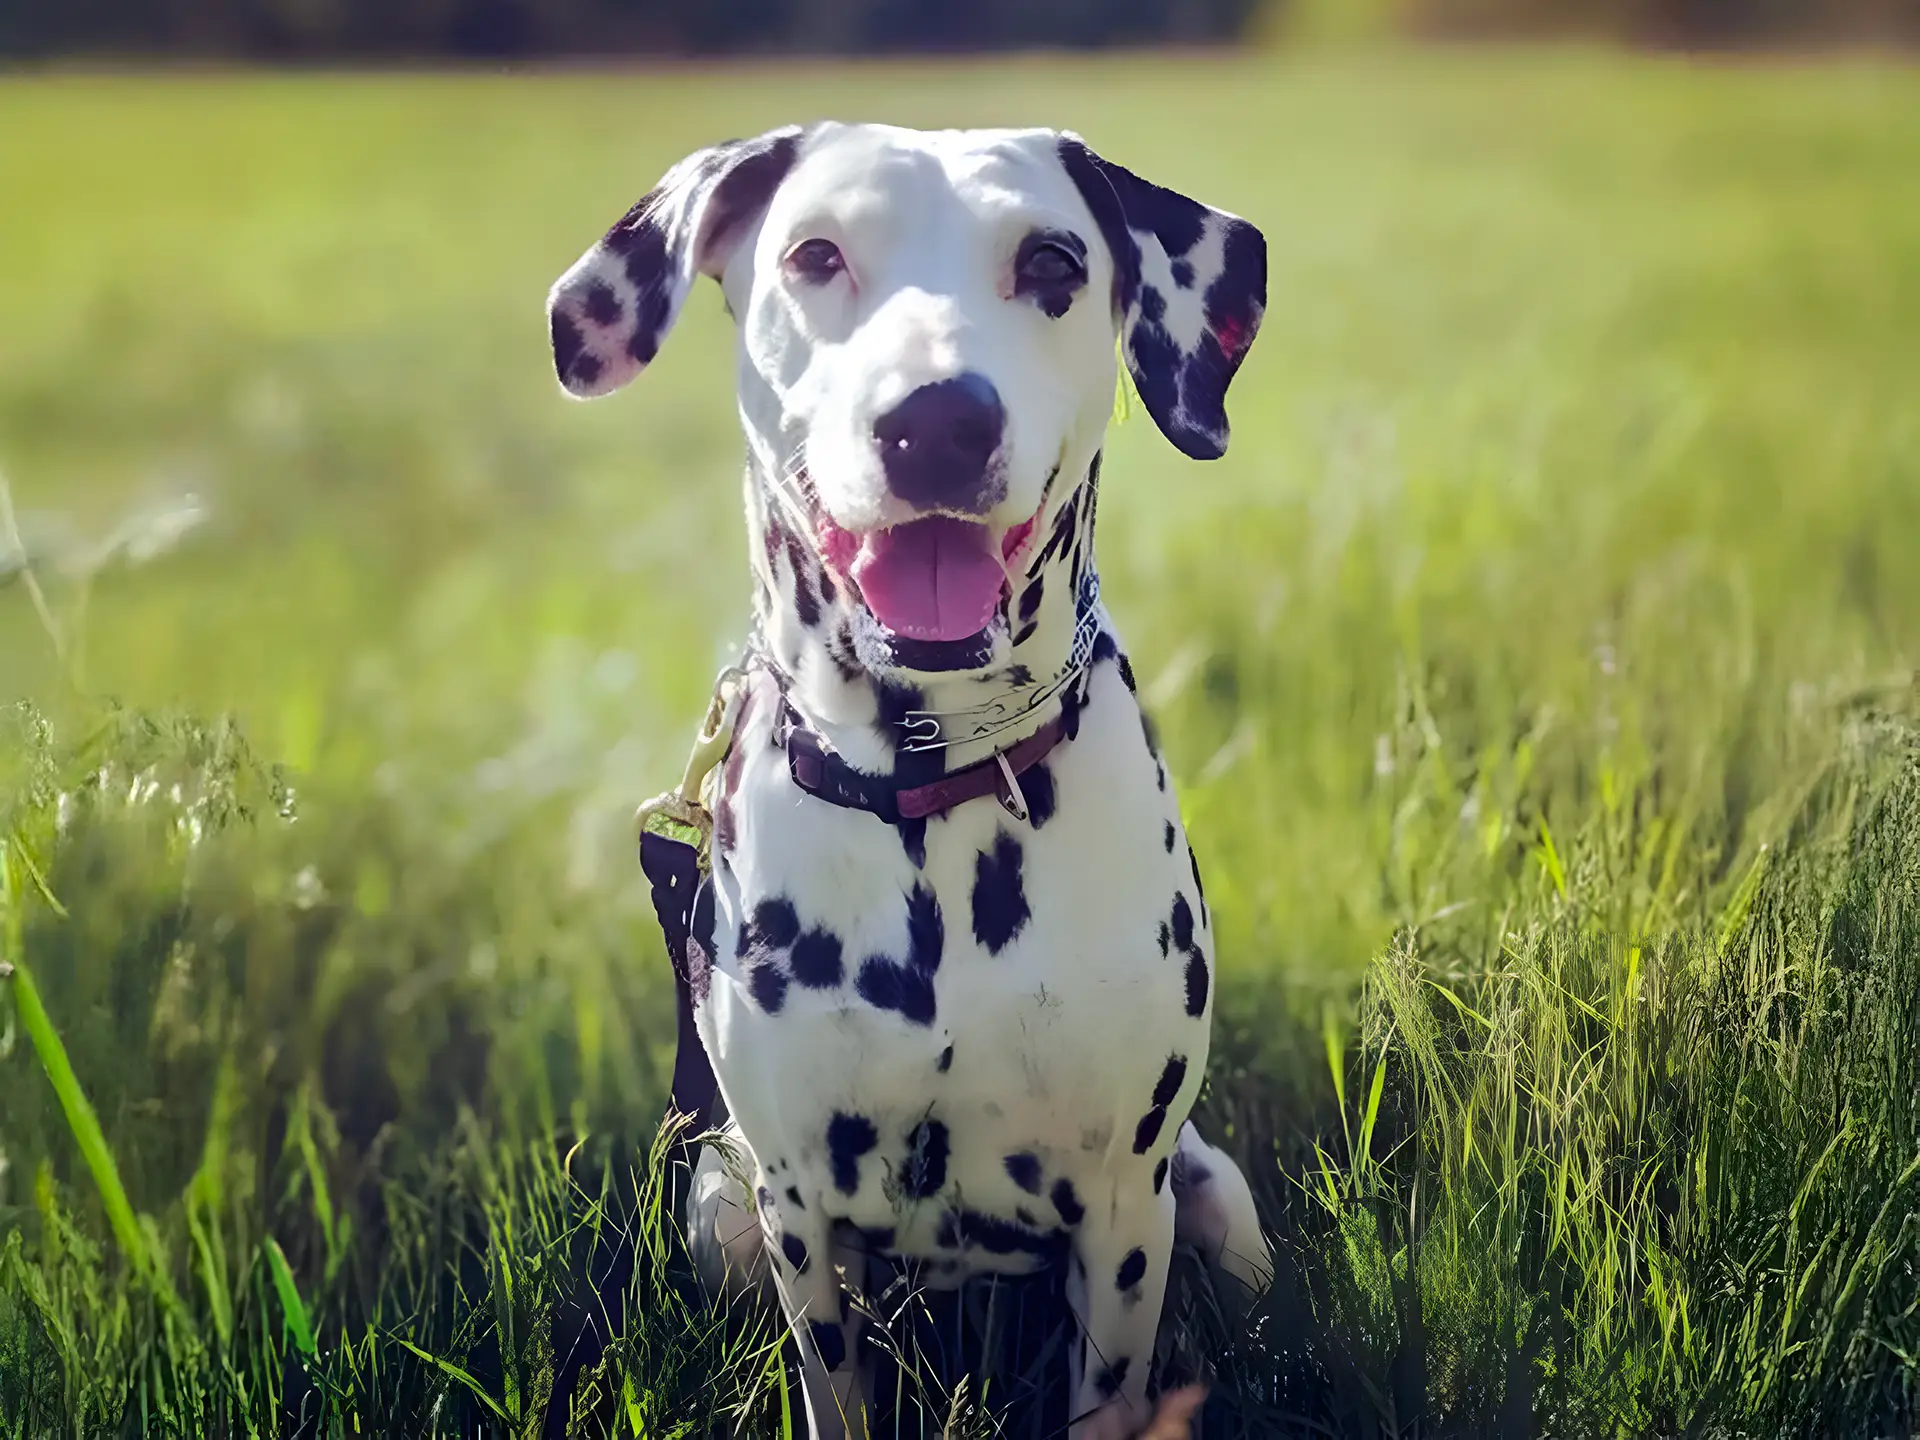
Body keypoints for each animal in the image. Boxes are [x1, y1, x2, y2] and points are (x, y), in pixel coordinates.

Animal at [552, 126, 1274, 1440]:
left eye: (1051, 263)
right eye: (814, 254)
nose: (936, 422)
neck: (932, 786)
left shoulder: (1123, 1204)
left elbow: (1108, 1393)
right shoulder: (795, 1208)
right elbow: (835, 1385)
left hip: (1208, 1185)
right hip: (718, 1199)